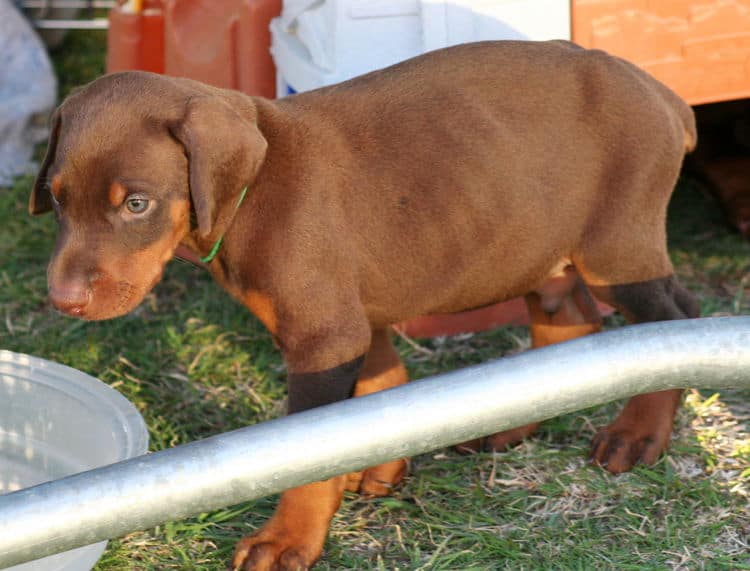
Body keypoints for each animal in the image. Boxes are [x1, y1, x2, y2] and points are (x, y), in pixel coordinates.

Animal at [29, 41, 700, 571]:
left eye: (136, 204)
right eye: (57, 199)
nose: (63, 300)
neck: (250, 195)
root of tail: (665, 95)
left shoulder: (324, 335)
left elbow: (309, 455)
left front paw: (287, 540)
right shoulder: (350, 320)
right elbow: (378, 392)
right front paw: (377, 464)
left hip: (617, 247)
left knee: (674, 321)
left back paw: (636, 435)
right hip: (535, 242)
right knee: (571, 319)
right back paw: (509, 420)